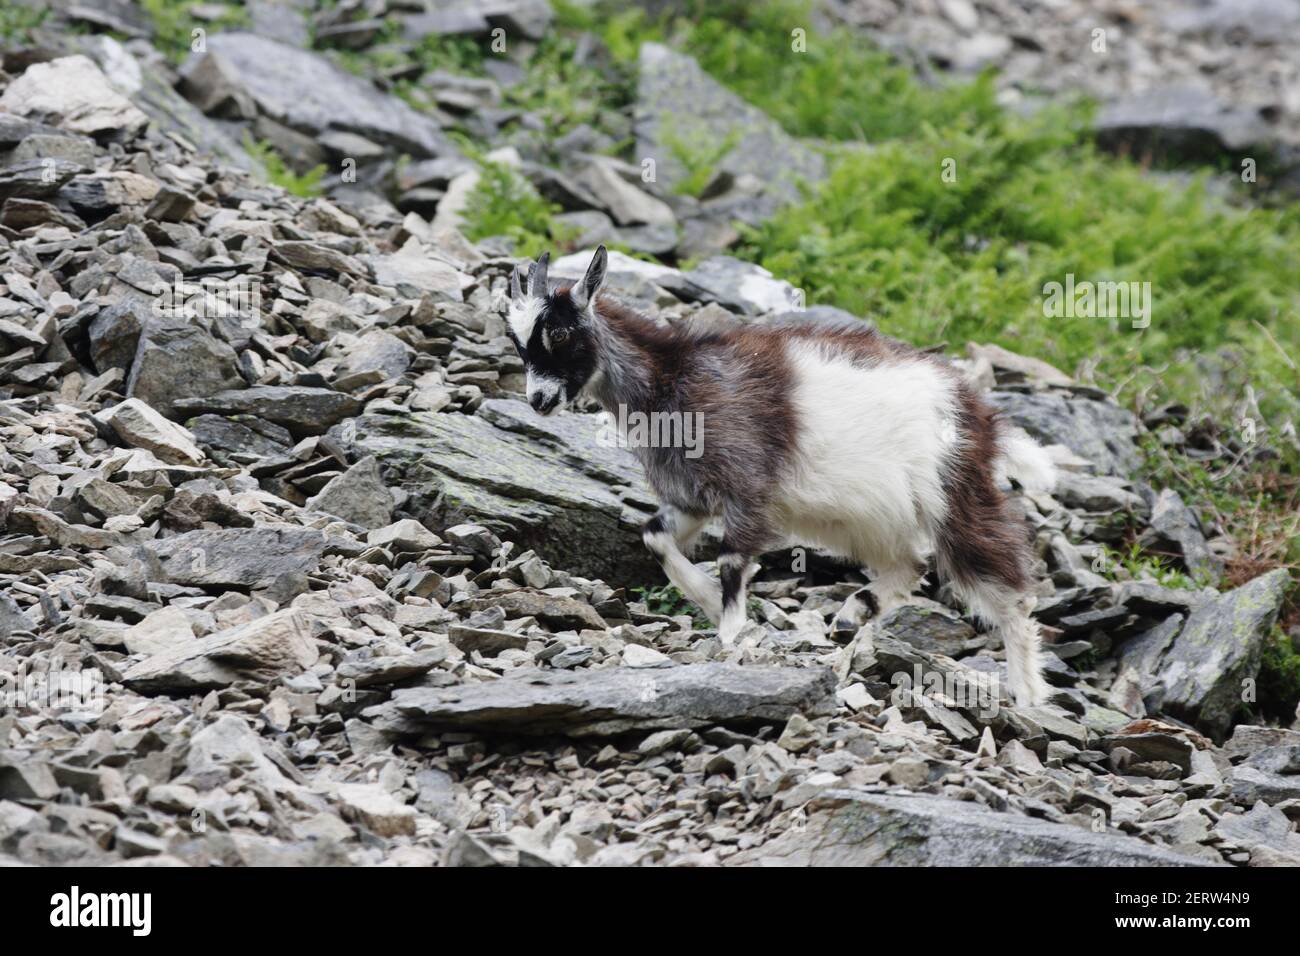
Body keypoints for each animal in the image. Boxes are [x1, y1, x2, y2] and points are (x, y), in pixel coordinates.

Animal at [499, 247, 1055, 707]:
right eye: (519, 344)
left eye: (561, 334)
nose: (539, 401)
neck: (669, 380)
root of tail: (983, 415)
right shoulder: (694, 497)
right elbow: (655, 537)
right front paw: (709, 604)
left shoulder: (748, 489)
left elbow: (730, 560)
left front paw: (731, 631)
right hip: (872, 519)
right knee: (910, 563)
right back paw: (854, 612)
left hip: (953, 495)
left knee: (1008, 586)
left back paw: (1028, 693)